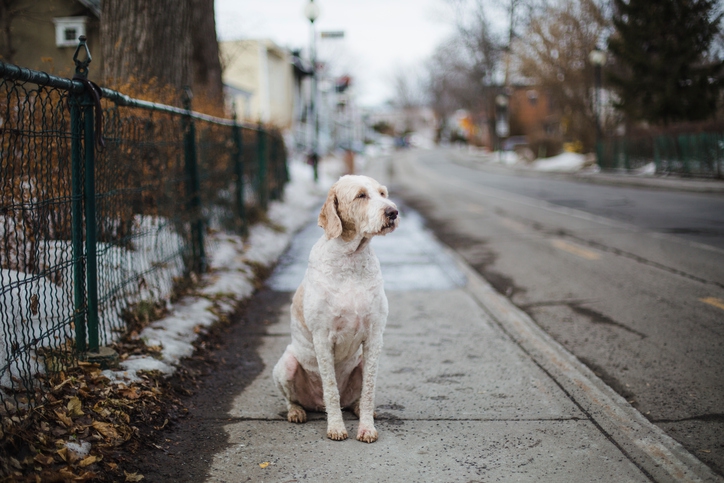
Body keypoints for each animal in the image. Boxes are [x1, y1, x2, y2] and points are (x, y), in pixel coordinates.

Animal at [272, 176, 398, 444]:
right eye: (361, 195)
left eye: (383, 193)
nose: (393, 212)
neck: (351, 260)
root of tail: (315, 406)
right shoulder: (322, 339)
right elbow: (330, 388)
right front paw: (336, 428)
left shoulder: (374, 338)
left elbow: (368, 390)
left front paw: (366, 428)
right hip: (286, 364)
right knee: (292, 399)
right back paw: (297, 412)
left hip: (360, 363)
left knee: (355, 399)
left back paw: (360, 409)